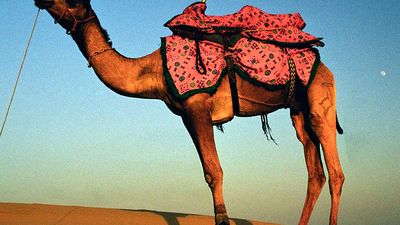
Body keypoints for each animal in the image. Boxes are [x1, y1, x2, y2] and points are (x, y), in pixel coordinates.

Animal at [33, 0, 344, 225]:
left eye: (73, 1)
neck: (154, 70)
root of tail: (323, 62)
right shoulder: (186, 115)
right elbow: (206, 172)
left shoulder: (198, 105)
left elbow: (215, 171)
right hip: (297, 110)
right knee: (314, 172)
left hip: (320, 99)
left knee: (335, 172)